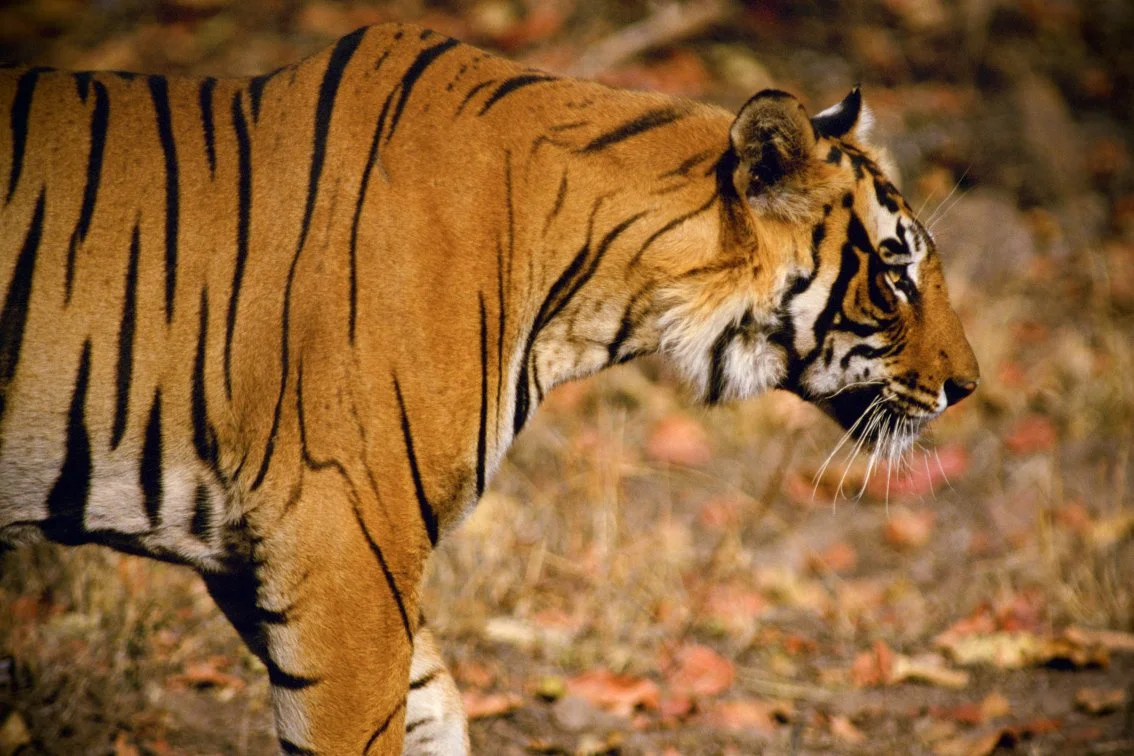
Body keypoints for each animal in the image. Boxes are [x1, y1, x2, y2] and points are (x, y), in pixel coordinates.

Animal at [0, 21, 979, 755]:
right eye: (896, 274)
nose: (967, 387)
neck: (594, 293)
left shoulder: (271, 554)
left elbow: (434, 705)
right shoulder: (343, 539)